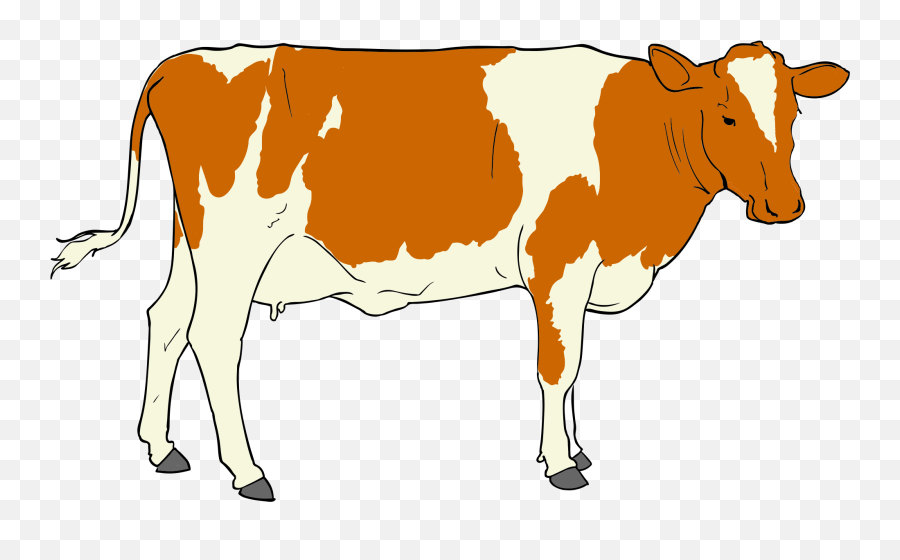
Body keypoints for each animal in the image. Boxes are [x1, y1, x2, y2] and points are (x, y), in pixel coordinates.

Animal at [52, 42, 849, 501]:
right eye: (728, 115)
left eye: (794, 114)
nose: (785, 205)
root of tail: (180, 61)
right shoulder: (558, 264)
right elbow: (559, 365)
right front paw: (560, 465)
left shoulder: (583, 276)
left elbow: (573, 368)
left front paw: (575, 449)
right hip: (234, 248)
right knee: (213, 340)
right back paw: (248, 472)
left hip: (194, 246)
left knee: (164, 321)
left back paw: (161, 448)